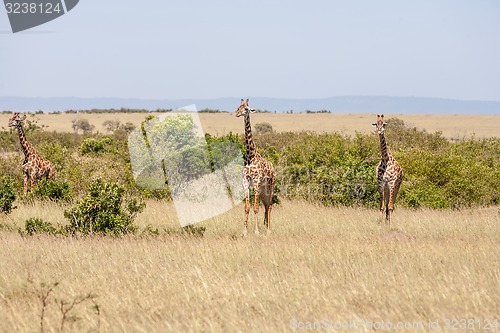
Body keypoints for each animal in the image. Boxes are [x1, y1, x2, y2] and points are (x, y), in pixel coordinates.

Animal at [235, 97, 278, 235]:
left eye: (246, 109)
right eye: (238, 107)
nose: (237, 114)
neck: (250, 156)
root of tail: (273, 168)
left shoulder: (257, 182)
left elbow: (255, 208)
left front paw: (256, 231)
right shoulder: (245, 182)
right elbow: (247, 208)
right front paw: (244, 231)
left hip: (270, 187)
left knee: (270, 205)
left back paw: (268, 230)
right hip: (264, 190)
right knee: (266, 205)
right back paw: (266, 226)